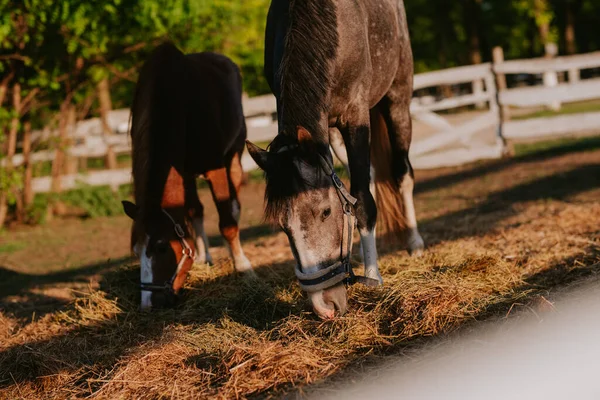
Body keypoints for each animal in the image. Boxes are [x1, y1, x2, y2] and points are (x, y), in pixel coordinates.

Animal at [122, 42, 253, 310]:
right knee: (197, 211)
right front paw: (203, 257)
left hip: (233, 156)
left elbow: (227, 222)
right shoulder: (182, 173)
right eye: (136, 251)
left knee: (233, 205)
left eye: (161, 247)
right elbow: (193, 214)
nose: (148, 304)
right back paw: (205, 256)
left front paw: (243, 267)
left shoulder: (215, 168)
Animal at [246, 0, 424, 318]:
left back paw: (414, 242)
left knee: (402, 173)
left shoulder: (356, 116)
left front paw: (373, 278)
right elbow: (355, 194)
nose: (325, 306)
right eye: (284, 226)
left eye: (326, 212)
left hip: (398, 99)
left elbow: (363, 201)